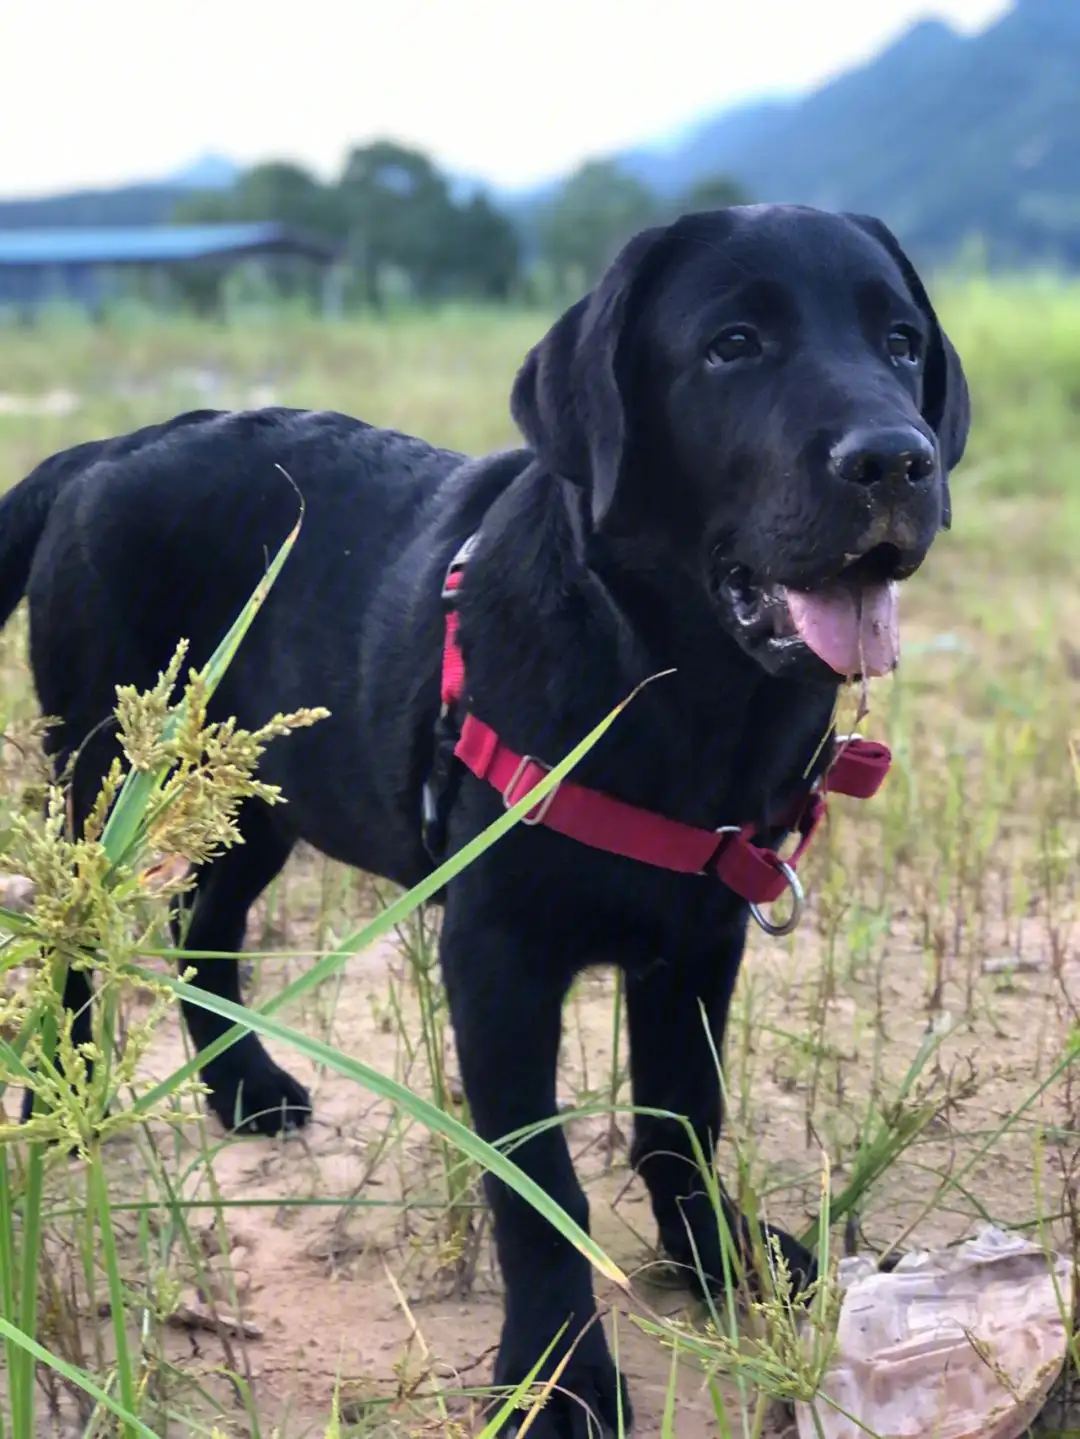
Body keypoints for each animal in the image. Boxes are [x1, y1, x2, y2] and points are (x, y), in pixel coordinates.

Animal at [0, 205, 972, 1439]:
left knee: (204, 926)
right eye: (733, 345)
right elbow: (536, 1177)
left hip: (269, 789)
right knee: (78, 946)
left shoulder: (701, 941)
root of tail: (98, 452)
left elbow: (681, 1116)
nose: (898, 458)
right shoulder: (497, 957)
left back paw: (244, 1090)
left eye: (900, 342)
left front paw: (717, 1256)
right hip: (102, 775)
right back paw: (66, 1088)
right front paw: (560, 1374)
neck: (675, 690)